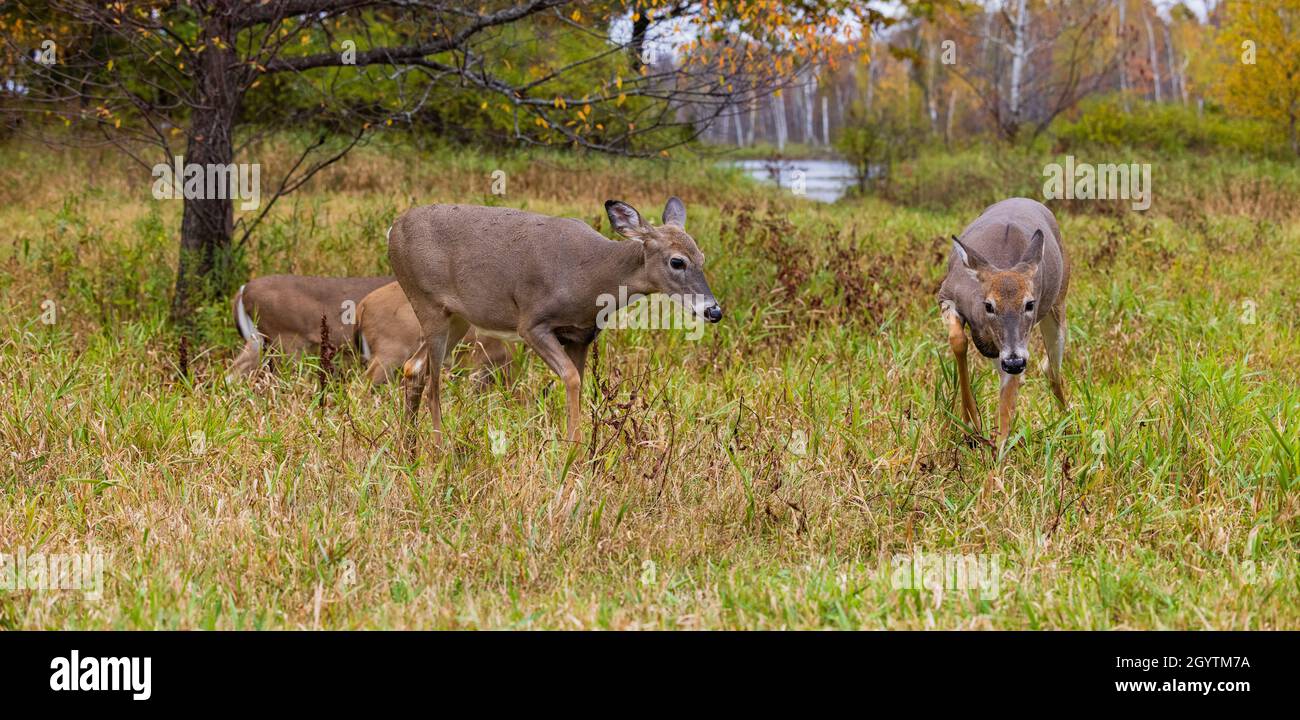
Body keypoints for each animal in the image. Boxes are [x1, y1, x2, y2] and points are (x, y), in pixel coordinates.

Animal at [390, 193, 728, 444]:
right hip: (427, 301)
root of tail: (394, 229)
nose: (713, 311)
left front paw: (577, 449)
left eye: (702, 258)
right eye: (677, 261)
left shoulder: (581, 335)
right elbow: (571, 378)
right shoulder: (532, 322)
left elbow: (576, 379)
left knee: (413, 367)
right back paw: (438, 451)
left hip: (458, 317)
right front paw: (574, 452)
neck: (592, 277)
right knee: (433, 384)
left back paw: (408, 448)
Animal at [941, 196, 1071, 447]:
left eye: (1029, 303)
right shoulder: (946, 294)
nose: (1014, 362)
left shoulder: (1019, 343)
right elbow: (958, 340)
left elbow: (1008, 398)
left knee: (1051, 370)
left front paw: (997, 449)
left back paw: (1069, 423)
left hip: (1059, 302)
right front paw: (971, 425)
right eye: (989, 305)